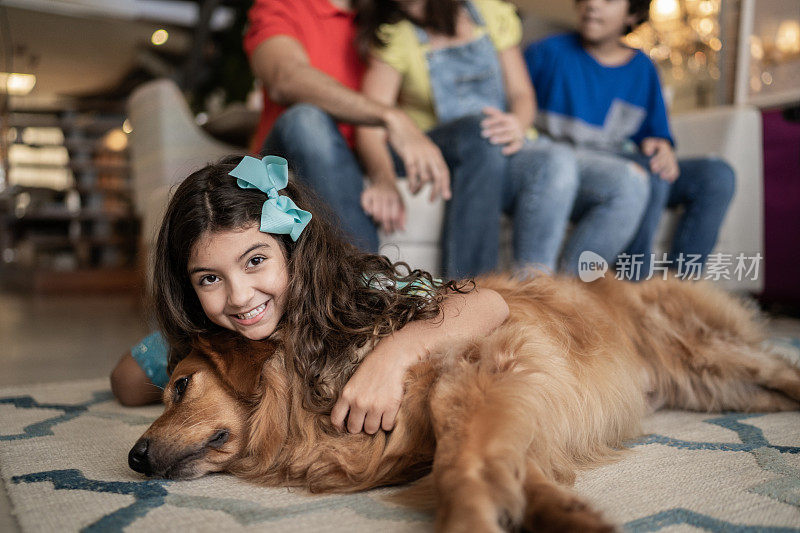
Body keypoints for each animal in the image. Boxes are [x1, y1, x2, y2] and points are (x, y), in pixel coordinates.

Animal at [128, 274, 796, 532]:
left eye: (181, 386)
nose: (133, 458)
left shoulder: (483, 378)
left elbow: (464, 466)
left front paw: (473, 519)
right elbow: (519, 472)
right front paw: (566, 514)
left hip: (710, 356)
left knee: (785, 368)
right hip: (717, 388)